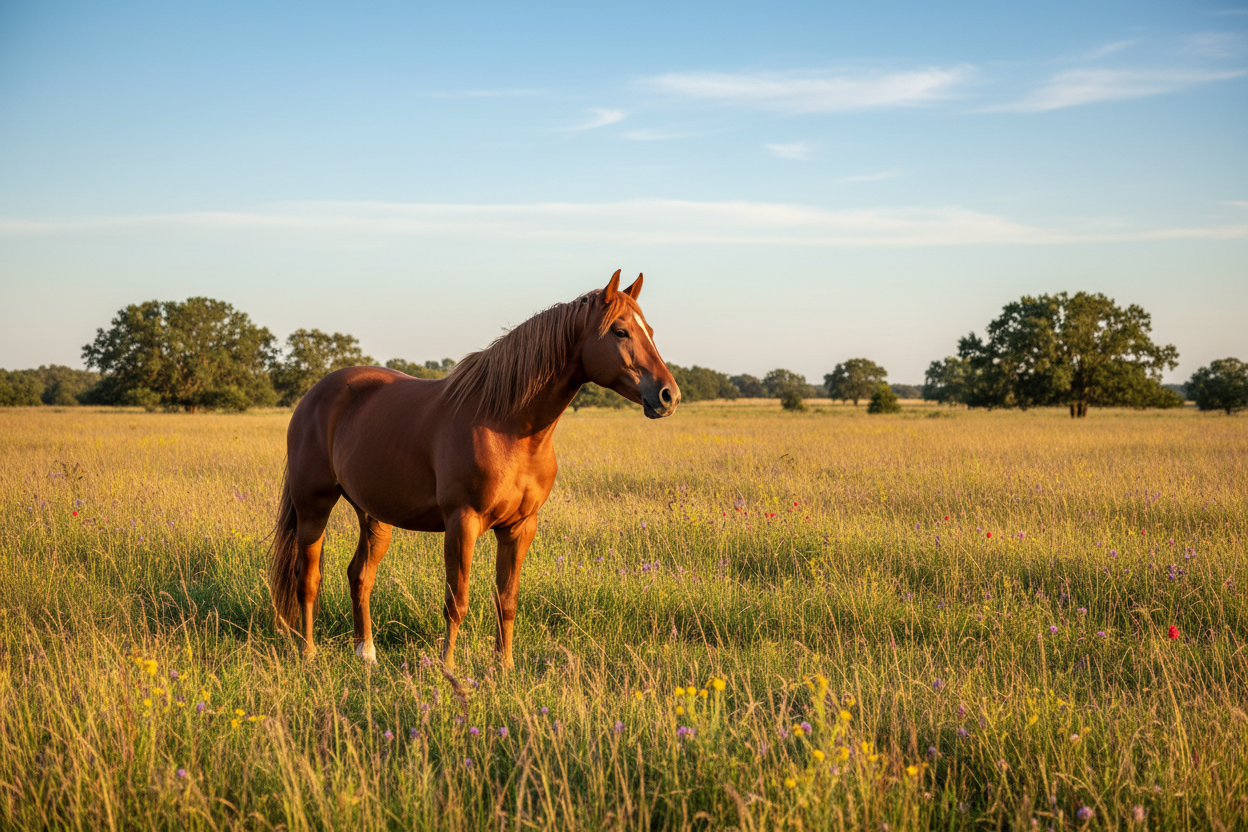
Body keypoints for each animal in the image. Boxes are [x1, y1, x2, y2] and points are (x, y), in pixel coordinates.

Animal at [268, 270, 680, 671]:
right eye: (620, 331)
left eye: (650, 330)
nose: (668, 396)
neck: (508, 427)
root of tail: (313, 395)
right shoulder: (461, 523)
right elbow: (457, 601)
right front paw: (448, 668)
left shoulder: (519, 527)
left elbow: (507, 601)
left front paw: (505, 667)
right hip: (313, 508)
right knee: (308, 579)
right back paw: (308, 653)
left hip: (373, 517)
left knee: (360, 576)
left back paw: (365, 653)